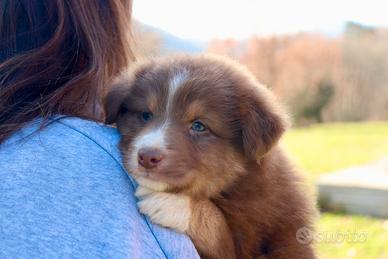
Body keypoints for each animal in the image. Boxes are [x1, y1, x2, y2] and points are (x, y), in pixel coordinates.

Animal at [104, 55, 316, 259]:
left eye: (199, 126)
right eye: (146, 115)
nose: (147, 157)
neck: (233, 185)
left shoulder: (254, 237)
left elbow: (218, 227)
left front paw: (170, 204)